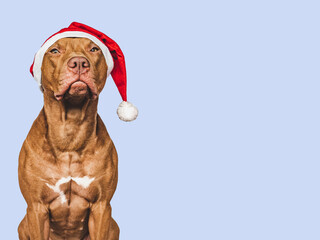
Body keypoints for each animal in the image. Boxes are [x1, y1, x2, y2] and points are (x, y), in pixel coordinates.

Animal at [18, 36, 121, 240]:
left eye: (94, 49)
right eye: (55, 51)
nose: (79, 63)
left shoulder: (101, 207)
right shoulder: (36, 208)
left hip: (113, 226)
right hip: (23, 224)